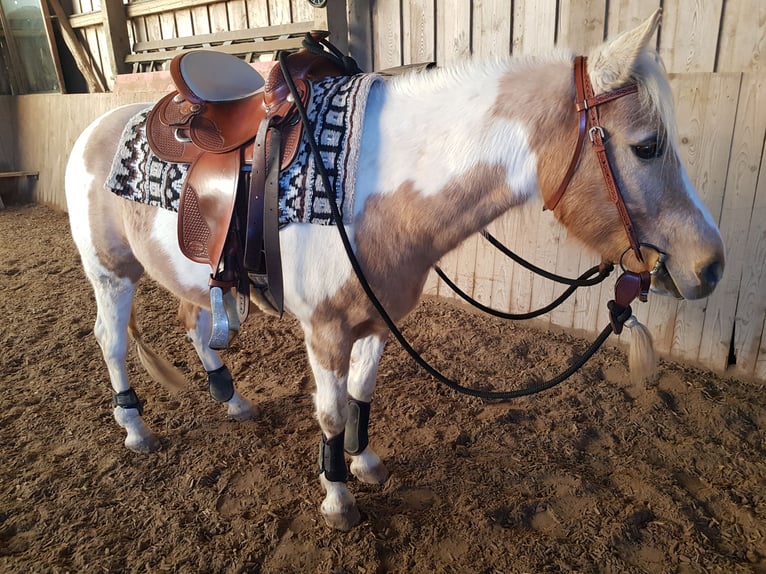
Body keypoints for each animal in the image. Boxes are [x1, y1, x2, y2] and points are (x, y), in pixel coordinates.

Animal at [66, 7, 728, 532]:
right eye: (647, 146)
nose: (712, 266)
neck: (366, 185)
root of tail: (97, 126)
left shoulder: (377, 321)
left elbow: (362, 395)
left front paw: (364, 463)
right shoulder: (326, 330)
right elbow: (332, 411)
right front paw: (337, 499)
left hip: (191, 282)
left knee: (196, 325)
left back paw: (231, 401)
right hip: (110, 275)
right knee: (111, 340)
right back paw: (135, 429)